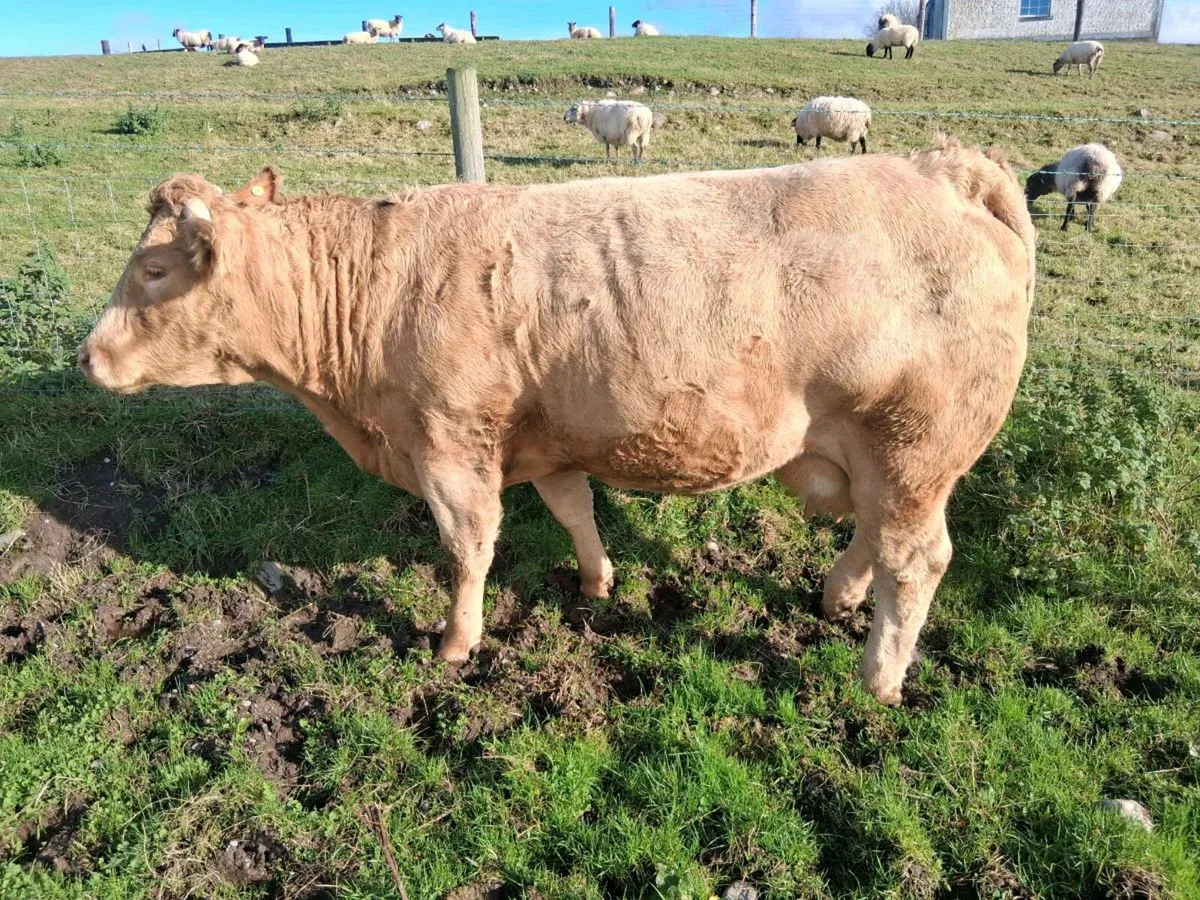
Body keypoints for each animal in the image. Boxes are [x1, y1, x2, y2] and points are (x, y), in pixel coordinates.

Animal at [78, 137, 1035, 705]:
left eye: (155, 270)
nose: (89, 356)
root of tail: (944, 165)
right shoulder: (543, 440)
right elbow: (573, 510)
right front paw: (597, 583)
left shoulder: (451, 446)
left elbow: (469, 548)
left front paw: (456, 643)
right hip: (885, 458)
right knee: (875, 537)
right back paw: (838, 596)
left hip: (914, 447)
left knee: (916, 560)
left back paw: (878, 678)